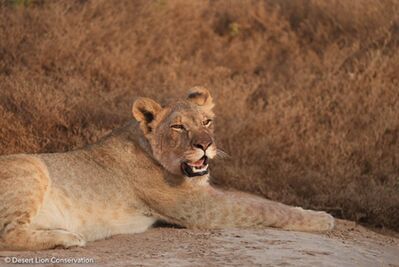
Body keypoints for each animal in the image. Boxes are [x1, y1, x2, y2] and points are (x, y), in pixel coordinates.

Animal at [0, 87, 334, 251]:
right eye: (178, 127)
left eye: (207, 122)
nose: (205, 145)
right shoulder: (198, 209)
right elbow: (262, 208)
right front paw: (322, 218)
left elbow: (261, 201)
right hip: (31, 166)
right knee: (6, 233)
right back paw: (68, 237)